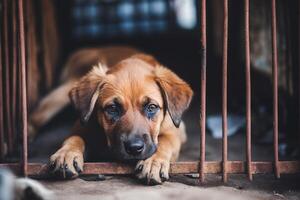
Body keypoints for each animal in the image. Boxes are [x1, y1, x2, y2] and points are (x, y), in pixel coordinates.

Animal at [28, 46, 192, 185]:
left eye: (151, 107)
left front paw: (153, 162)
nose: (134, 148)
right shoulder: (81, 124)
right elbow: (75, 137)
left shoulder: (177, 129)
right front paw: (66, 154)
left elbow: (166, 141)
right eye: (112, 108)